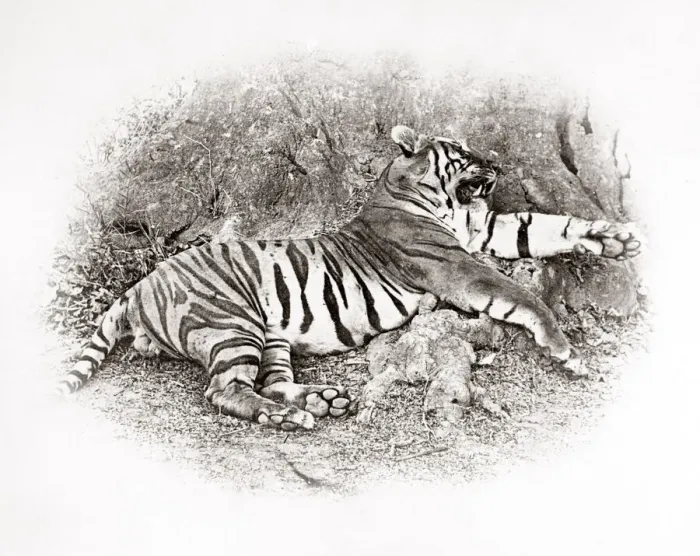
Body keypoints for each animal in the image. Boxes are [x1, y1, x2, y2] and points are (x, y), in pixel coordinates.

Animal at [56, 125, 640, 431]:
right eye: (462, 152)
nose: (496, 159)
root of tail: (137, 286)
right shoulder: (457, 265)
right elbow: (521, 293)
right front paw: (566, 353)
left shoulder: (485, 229)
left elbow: (547, 225)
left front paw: (618, 239)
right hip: (231, 324)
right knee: (225, 390)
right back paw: (289, 419)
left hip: (271, 335)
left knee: (272, 380)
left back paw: (325, 401)